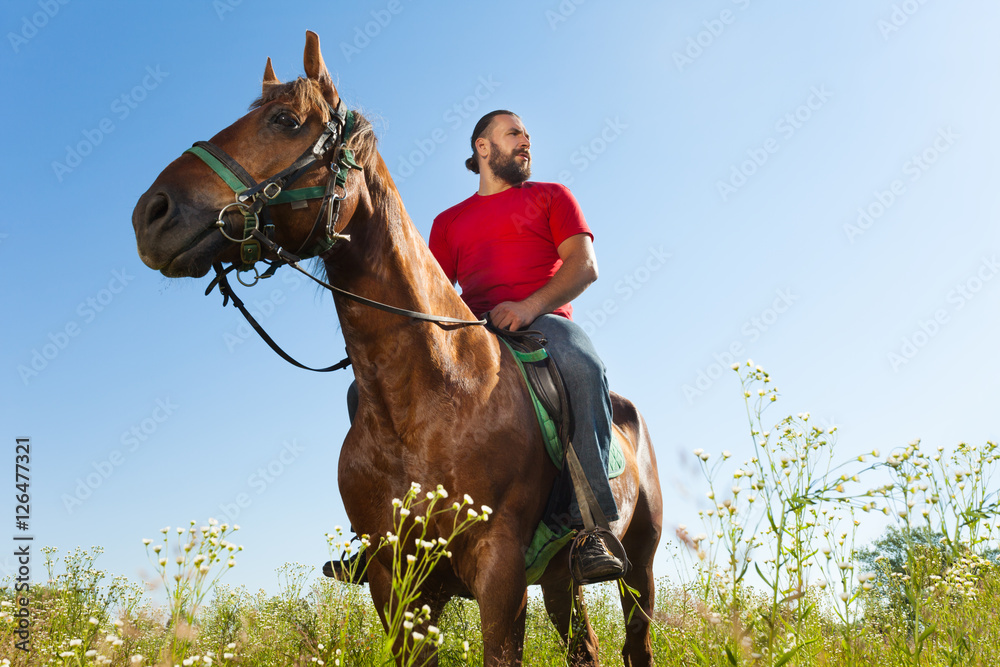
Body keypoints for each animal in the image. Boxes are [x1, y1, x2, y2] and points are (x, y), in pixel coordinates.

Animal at [133, 32, 664, 667]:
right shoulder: (396, 583)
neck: (432, 396)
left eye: (284, 121)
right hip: (561, 579)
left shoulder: (500, 569)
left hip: (640, 566)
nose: (150, 214)